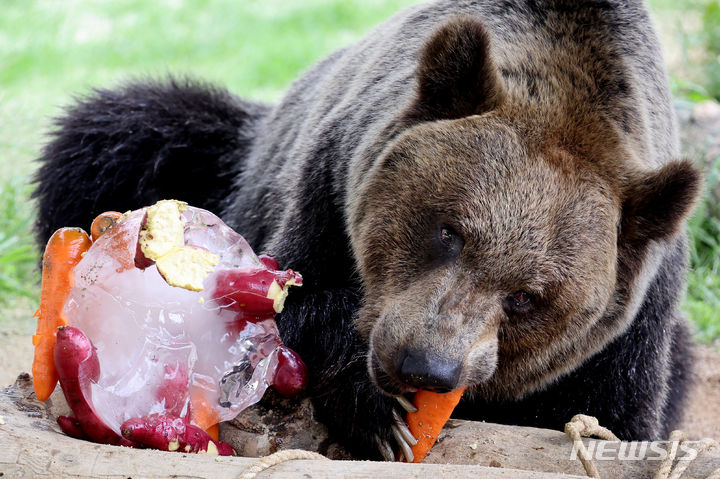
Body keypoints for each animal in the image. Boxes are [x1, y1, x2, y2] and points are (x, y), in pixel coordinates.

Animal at [32, 0, 696, 462]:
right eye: (449, 232)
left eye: (528, 297)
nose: (425, 366)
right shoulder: (327, 186)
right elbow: (288, 305)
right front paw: (382, 415)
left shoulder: (629, 333)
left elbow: (610, 415)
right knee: (119, 135)